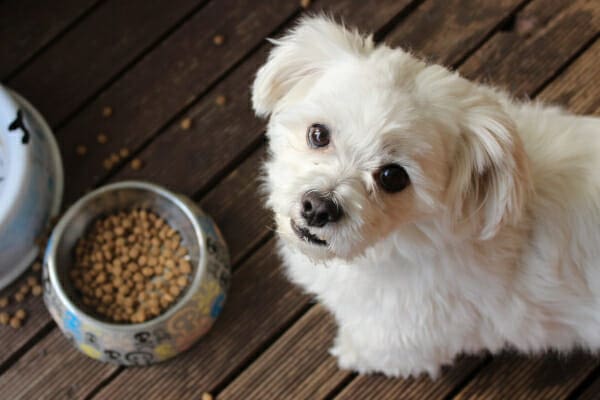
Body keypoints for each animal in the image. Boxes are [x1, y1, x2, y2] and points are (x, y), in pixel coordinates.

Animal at [251, 16, 600, 378]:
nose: (318, 207)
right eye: (318, 134)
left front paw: (349, 351)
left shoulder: (406, 337)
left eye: (393, 177)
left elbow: (376, 348)